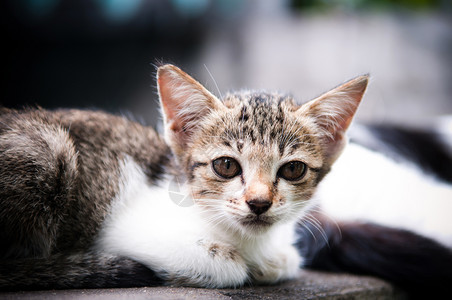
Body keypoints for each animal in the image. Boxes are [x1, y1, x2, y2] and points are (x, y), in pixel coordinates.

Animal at [0, 63, 450, 296]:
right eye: (226, 167)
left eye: (292, 169)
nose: (259, 202)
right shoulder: (123, 225)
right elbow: (224, 265)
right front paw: (235, 263)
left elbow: (284, 259)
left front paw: (270, 260)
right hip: (48, 148)